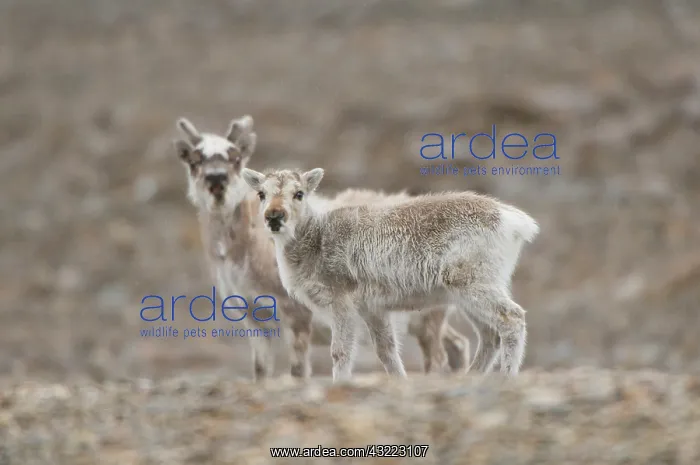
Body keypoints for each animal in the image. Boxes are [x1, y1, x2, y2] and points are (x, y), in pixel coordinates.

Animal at [173, 116, 471, 381]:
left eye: (236, 159)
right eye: (194, 160)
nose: (216, 181)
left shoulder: (297, 316)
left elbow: (298, 371)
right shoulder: (253, 320)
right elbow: (260, 371)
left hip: (428, 317)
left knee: (438, 357)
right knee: (457, 345)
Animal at [240, 166, 539, 381]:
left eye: (299, 193)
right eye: (261, 193)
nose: (274, 216)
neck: (315, 238)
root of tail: (515, 221)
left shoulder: (342, 304)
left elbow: (340, 352)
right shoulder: (374, 310)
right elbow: (387, 352)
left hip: (474, 285)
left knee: (511, 319)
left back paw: (506, 377)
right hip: (469, 294)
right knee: (489, 335)